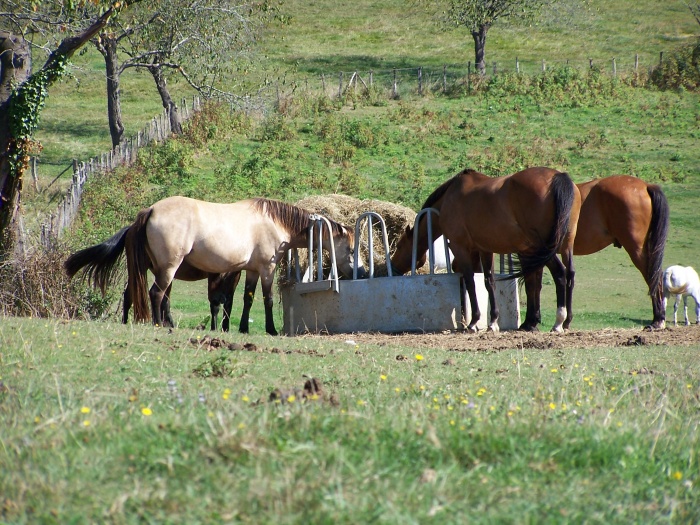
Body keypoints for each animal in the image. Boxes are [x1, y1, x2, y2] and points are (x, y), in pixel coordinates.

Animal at [65, 194, 360, 334]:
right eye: (352, 249)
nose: (363, 270)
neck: (273, 221)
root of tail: (150, 211)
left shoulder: (250, 271)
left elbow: (247, 299)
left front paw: (242, 329)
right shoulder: (267, 269)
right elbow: (265, 300)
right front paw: (272, 329)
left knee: (134, 295)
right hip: (168, 268)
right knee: (156, 294)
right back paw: (160, 324)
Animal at [394, 167, 580, 332]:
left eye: (399, 245)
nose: (393, 267)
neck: (450, 197)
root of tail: (558, 177)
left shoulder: (460, 247)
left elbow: (470, 281)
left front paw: (474, 322)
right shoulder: (485, 249)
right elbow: (489, 282)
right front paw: (493, 322)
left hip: (543, 247)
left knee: (560, 273)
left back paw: (558, 322)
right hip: (563, 245)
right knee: (568, 274)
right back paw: (563, 321)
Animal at [528, 176, 668, 332]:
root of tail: (645, 186)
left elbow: (533, 286)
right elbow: (537, 285)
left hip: (637, 250)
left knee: (653, 277)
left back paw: (658, 321)